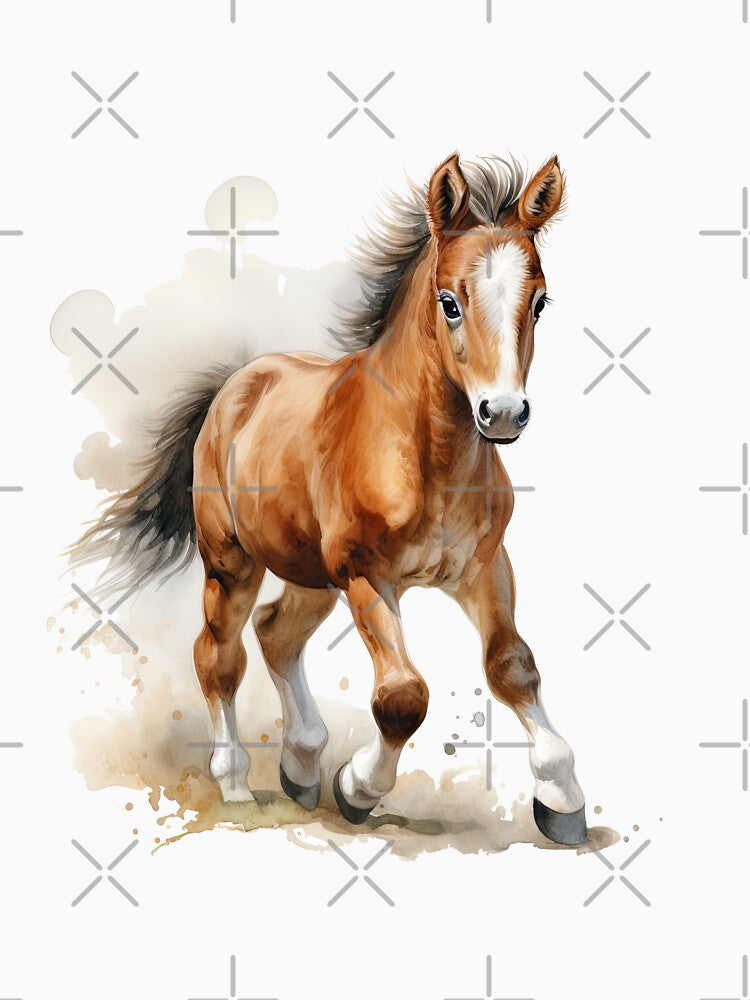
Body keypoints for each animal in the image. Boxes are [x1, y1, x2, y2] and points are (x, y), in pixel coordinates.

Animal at [70, 152, 588, 846]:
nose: (502, 414)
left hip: (309, 572)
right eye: (450, 302)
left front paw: (562, 802)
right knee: (218, 656)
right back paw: (239, 786)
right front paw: (357, 788)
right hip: (233, 562)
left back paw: (300, 766)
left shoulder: (483, 566)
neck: (427, 455)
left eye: (540, 301)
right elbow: (402, 696)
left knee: (276, 633)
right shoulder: (366, 574)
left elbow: (512, 666)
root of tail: (235, 386)